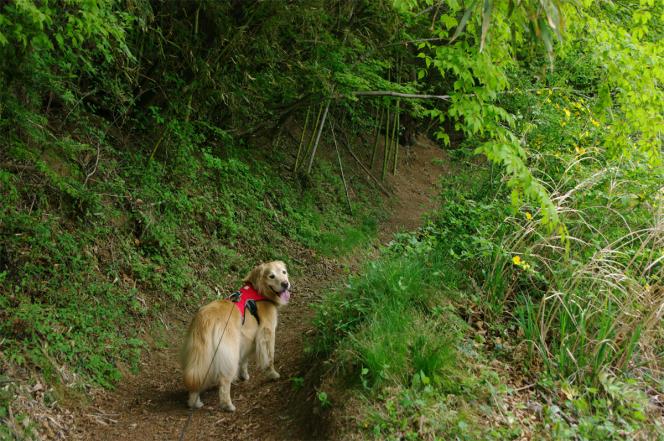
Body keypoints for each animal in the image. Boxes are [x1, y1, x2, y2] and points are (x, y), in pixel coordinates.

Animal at [179, 262, 290, 410]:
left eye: (284, 272)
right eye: (271, 276)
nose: (285, 284)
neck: (258, 291)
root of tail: (205, 319)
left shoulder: (246, 338)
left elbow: (244, 359)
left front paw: (244, 375)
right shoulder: (267, 333)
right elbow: (270, 358)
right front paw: (273, 374)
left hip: (202, 355)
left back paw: (194, 403)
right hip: (229, 353)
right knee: (224, 382)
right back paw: (227, 405)